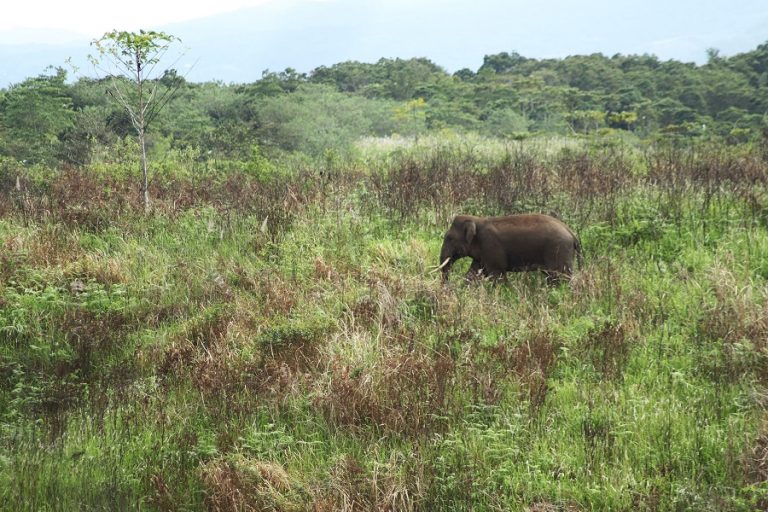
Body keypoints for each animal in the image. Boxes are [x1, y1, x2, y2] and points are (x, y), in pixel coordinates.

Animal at [438, 213, 584, 284]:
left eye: (450, 238)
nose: (447, 287)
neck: (477, 220)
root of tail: (571, 233)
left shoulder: (491, 246)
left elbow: (497, 275)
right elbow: (472, 274)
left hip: (559, 250)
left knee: (561, 277)